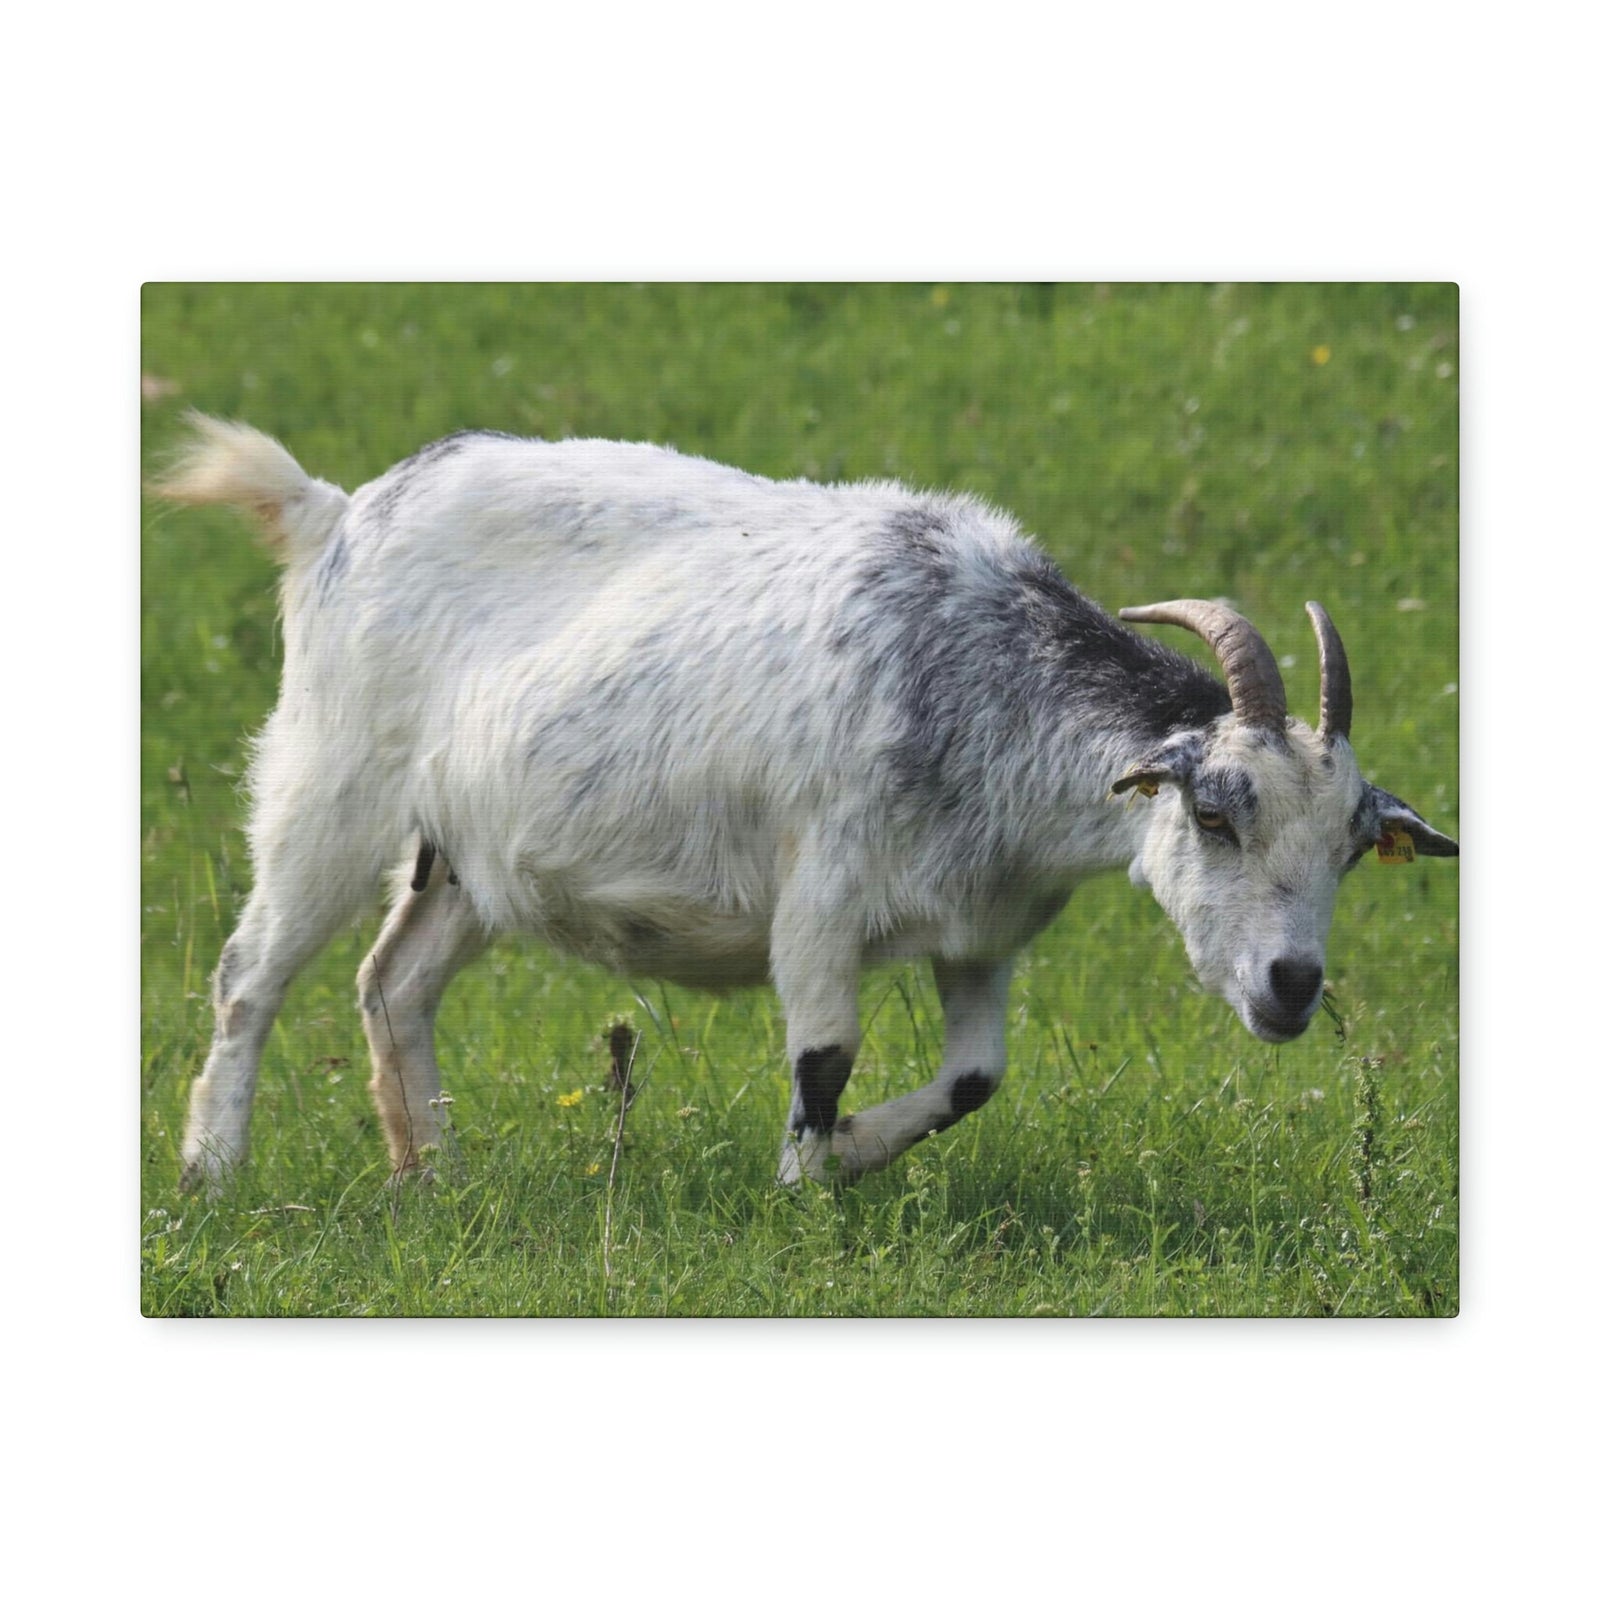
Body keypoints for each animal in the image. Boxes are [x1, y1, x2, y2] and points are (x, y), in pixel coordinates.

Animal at [155, 415, 1458, 1192]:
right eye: (1214, 814)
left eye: (1350, 848)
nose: (1291, 986)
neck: (973, 672)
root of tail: (333, 510)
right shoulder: (821, 900)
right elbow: (823, 1058)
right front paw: (804, 1192)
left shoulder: (982, 933)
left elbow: (975, 1078)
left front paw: (853, 1153)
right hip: (329, 784)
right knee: (250, 976)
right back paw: (211, 1175)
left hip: (467, 856)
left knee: (394, 982)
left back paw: (434, 1175)